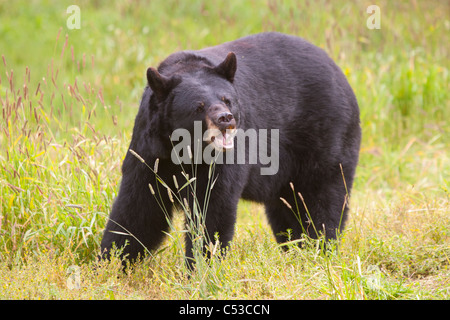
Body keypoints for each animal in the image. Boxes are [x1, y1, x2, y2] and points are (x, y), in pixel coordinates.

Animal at [100, 32, 360, 268]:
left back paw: (319, 249)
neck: (187, 149)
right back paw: (299, 250)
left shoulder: (222, 162)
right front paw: (111, 261)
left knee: (321, 200)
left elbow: (212, 210)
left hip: (325, 138)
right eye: (199, 106)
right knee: (288, 210)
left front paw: (201, 268)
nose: (225, 118)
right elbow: (138, 208)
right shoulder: (150, 151)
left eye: (227, 99)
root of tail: (340, 73)